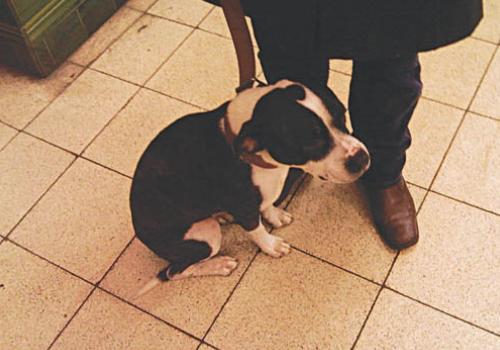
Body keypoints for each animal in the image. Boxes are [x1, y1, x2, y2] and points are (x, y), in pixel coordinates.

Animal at [131, 80, 370, 296]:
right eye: (310, 142)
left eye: (343, 115)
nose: (361, 158)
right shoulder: (244, 207)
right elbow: (256, 229)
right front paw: (271, 245)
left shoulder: (265, 191)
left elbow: (267, 204)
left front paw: (274, 216)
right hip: (205, 236)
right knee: (174, 271)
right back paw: (218, 265)